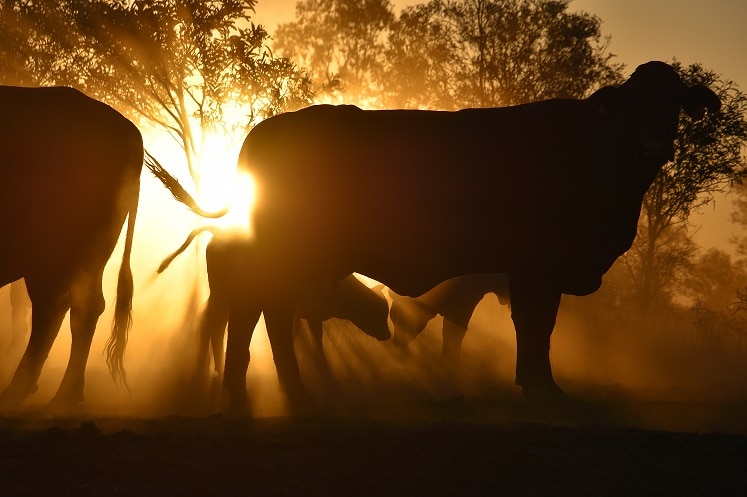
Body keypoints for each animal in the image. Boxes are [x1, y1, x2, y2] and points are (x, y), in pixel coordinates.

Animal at [218, 62, 724, 410]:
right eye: (631, 106)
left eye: (673, 102)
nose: (654, 144)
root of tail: (266, 130)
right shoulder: (535, 266)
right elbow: (536, 324)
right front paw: (543, 388)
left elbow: (536, 325)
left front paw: (535, 383)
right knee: (261, 310)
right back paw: (281, 392)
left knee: (262, 311)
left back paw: (255, 390)